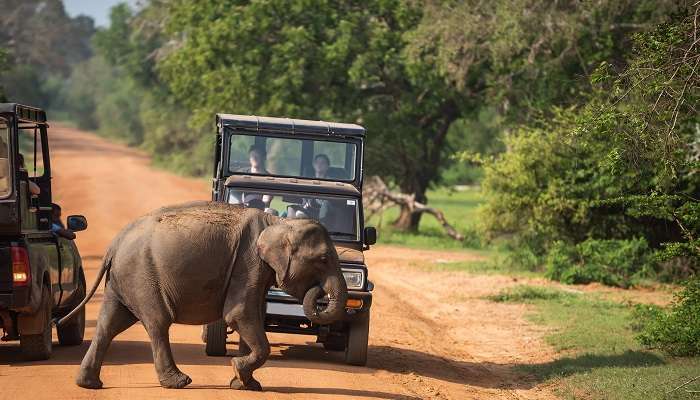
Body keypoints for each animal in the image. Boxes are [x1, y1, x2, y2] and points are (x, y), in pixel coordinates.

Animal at [58, 200, 348, 390]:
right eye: (323, 259)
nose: (318, 291)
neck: (279, 223)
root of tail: (114, 243)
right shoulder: (248, 263)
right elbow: (238, 314)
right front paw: (239, 373)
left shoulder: (256, 270)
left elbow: (251, 314)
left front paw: (246, 383)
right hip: (142, 275)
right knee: (157, 322)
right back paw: (179, 382)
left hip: (122, 280)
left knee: (109, 324)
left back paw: (88, 384)